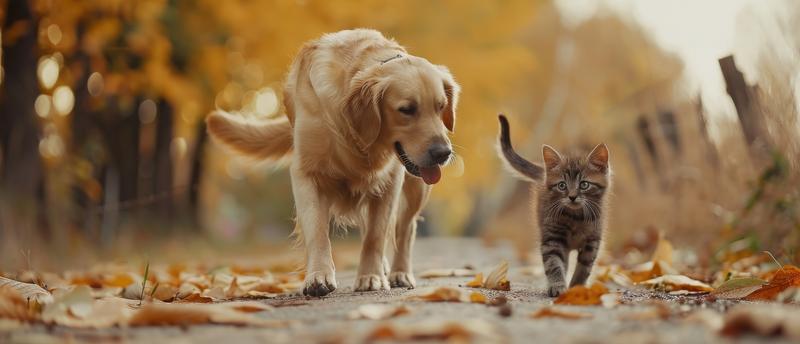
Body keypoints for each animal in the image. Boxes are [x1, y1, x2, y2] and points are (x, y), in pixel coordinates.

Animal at [206, 28, 460, 296]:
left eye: (441, 107)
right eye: (407, 109)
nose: (443, 153)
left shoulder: (389, 181)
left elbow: (376, 235)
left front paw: (370, 277)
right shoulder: (307, 173)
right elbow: (318, 230)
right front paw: (318, 276)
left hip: (415, 187)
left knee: (405, 228)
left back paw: (399, 272)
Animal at [496, 114, 608, 296]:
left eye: (584, 185)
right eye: (562, 185)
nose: (572, 197)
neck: (576, 218)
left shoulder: (592, 241)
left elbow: (584, 267)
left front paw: (577, 287)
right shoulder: (552, 239)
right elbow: (554, 264)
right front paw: (558, 286)